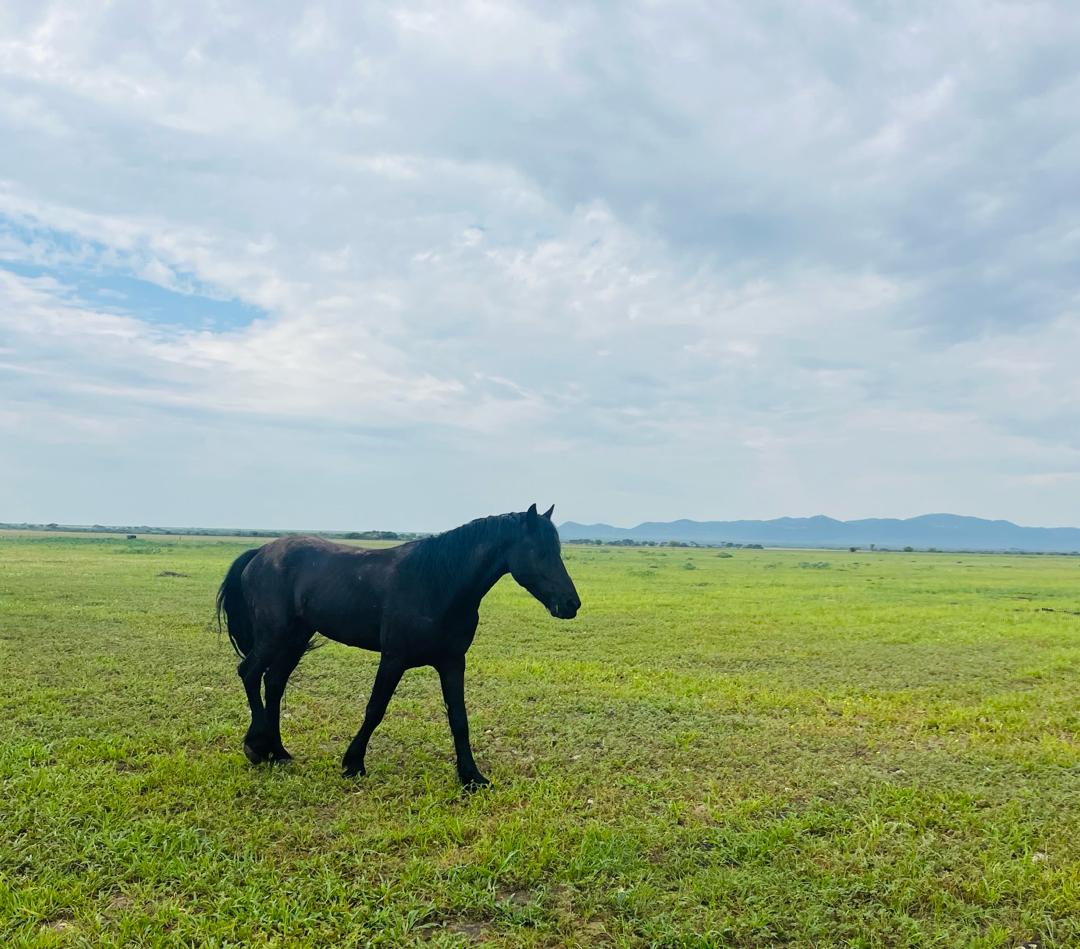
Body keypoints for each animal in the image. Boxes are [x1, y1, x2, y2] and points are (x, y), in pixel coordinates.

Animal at [215, 504, 580, 787]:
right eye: (540, 552)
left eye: (558, 551)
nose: (571, 604)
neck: (437, 584)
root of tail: (259, 553)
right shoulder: (393, 659)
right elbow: (375, 709)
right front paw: (353, 763)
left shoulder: (452, 661)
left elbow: (459, 718)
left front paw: (471, 777)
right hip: (274, 635)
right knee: (249, 673)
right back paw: (256, 746)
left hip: (296, 637)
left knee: (274, 682)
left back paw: (278, 751)